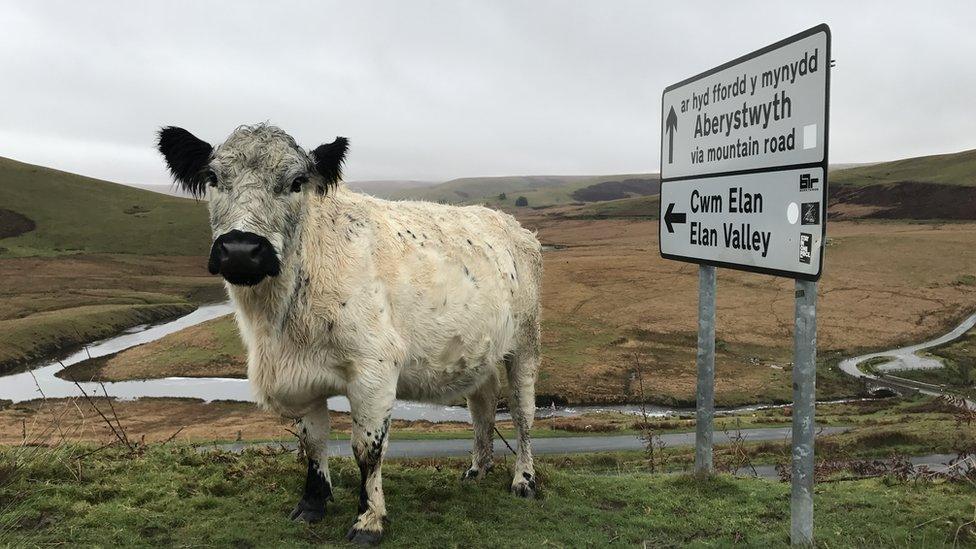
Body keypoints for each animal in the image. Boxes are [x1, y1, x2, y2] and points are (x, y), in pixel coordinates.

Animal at [156, 124, 544, 544]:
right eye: (213, 178)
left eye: (296, 182)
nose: (241, 250)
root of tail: (511, 224)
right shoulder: (302, 379)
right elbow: (313, 443)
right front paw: (312, 504)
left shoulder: (374, 371)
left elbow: (366, 450)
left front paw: (368, 520)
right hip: (480, 351)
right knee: (482, 406)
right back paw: (477, 469)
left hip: (525, 342)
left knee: (522, 412)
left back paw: (524, 480)